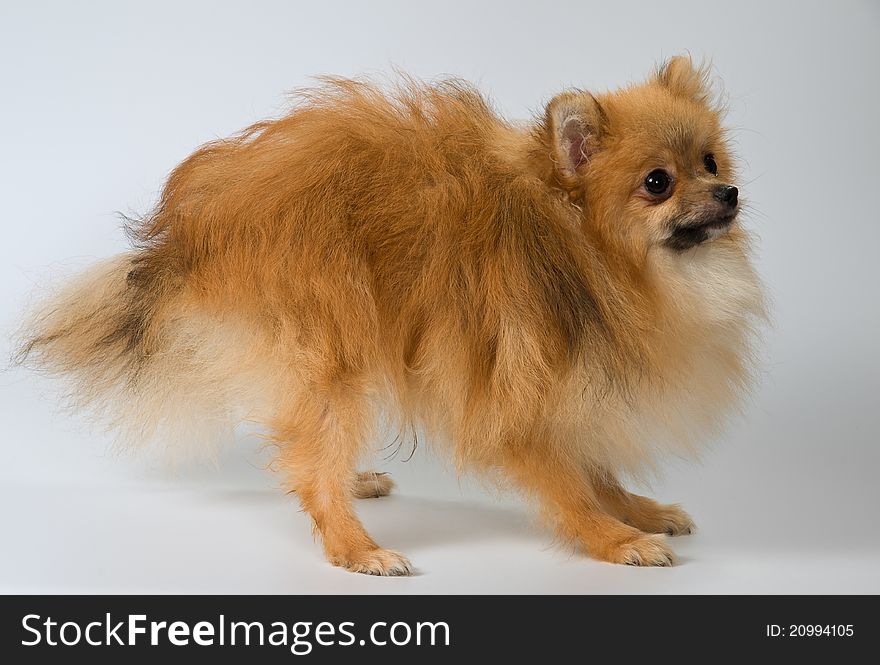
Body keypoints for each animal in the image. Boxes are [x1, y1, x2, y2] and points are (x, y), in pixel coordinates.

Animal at [18, 57, 764, 572]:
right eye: (658, 182)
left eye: (710, 161)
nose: (729, 191)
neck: (585, 253)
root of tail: (191, 231)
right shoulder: (518, 389)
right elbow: (570, 484)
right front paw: (615, 537)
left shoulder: (574, 384)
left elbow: (595, 465)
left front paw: (638, 509)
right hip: (334, 353)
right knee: (312, 462)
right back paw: (355, 548)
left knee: (306, 452)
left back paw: (357, 483)